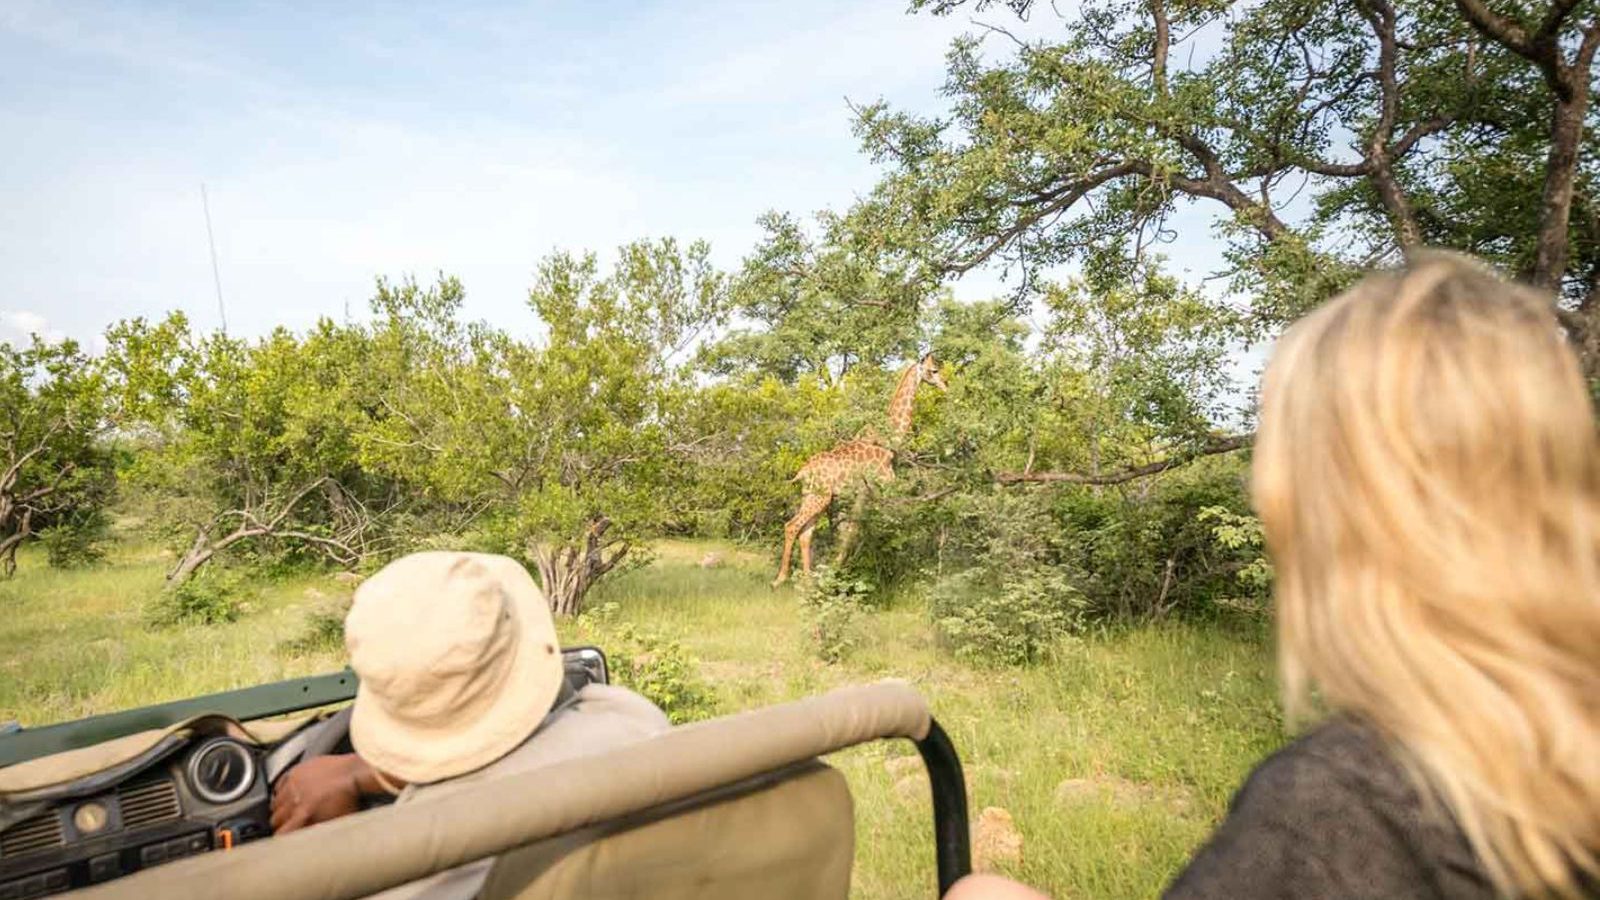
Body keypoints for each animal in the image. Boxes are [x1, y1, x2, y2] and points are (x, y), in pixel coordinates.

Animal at [772, 354, 948, 586]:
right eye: (934, 370)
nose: (946, 385)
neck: (889, 440)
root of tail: (804, 471)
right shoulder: (878, 487)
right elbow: (870, 527)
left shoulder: (863, 493)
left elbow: (854, 529)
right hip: (820, 497)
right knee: (792, 526)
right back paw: (780, 579)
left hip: (812, 495)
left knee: (806, 533)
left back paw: (808, 581)